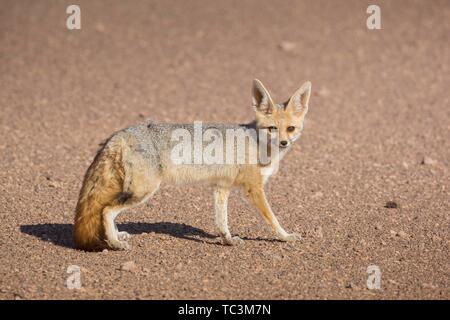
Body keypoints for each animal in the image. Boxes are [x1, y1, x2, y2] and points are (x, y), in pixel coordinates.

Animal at [74, 79, 312, 250]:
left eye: (290, 128)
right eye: (272, 128)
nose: (284, 142)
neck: (257, 142)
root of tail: (122, 133)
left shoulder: (221, 187)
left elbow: (221, 220)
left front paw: (227, 240)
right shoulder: (254, 189)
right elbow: (272, 218)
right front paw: (285, 236)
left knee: (108, 209)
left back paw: (116, 236)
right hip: (143, 191)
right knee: (106, 210)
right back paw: (114, 243)